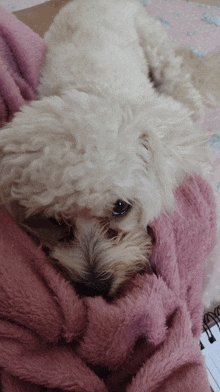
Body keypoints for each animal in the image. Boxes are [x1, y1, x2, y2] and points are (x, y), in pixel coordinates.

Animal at [0, 0, 220, 296]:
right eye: (53, 220)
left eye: (121, 207)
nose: (97, 287)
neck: (90, 91)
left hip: (151, 38)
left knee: (177, 79)